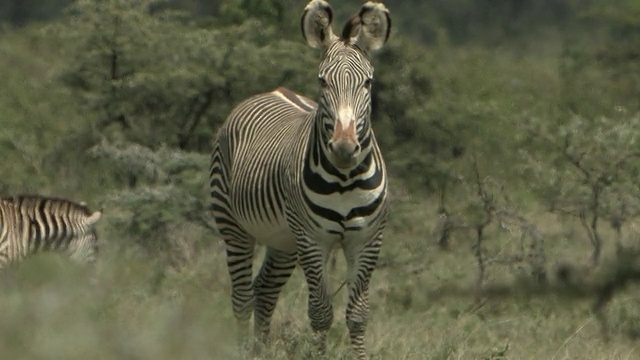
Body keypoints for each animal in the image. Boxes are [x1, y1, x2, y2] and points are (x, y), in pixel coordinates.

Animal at [210, 1, 390, 358]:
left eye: (367, 83)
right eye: (322, 82)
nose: (344, 147)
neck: (345, 178)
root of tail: (271, 91)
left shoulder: (367, 239)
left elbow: (358, 315)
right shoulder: (312, 239)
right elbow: (320, 313)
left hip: (283, 240)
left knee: (264, 290)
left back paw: (260, 350)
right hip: (235, 226)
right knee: (242, 297)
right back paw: (243, 349)